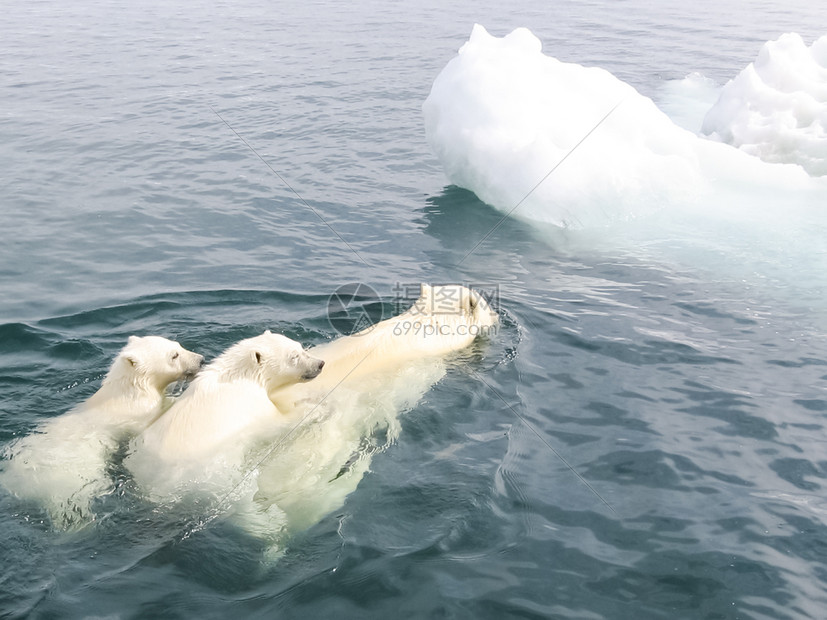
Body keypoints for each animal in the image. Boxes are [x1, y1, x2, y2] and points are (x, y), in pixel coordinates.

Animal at [0, 334, 205, 528]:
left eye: (178, 345)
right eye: (174, 355)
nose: (201, 360)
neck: (128, 390)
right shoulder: (136, 414)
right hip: (65, 478)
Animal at [126, 330, 326, 494]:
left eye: (300, 347)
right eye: (294, 356)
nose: (320, 364)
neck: (241, 375)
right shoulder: (250, 406)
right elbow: (277, 424)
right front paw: (313, 408)